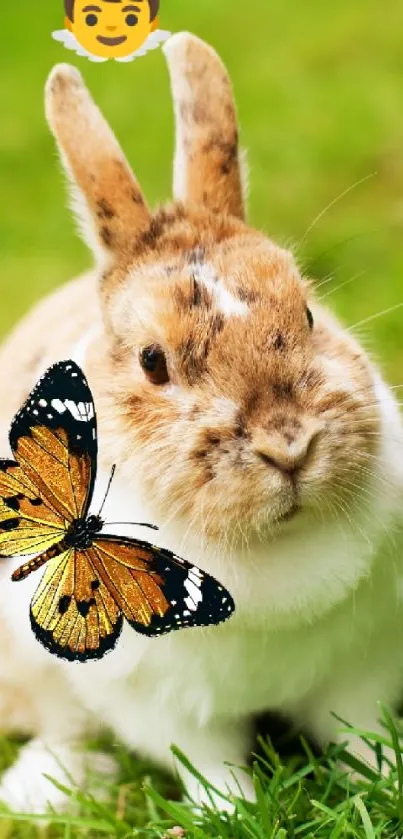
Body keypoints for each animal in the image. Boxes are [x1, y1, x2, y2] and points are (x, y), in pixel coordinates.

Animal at [0, 32, 403, 812]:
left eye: (309, 315)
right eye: (153, 361)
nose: (289, 445)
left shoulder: (361, 665)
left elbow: (359, 733)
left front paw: (387, 776)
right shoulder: (161, 705)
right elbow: (207, 763)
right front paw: (236, 808)